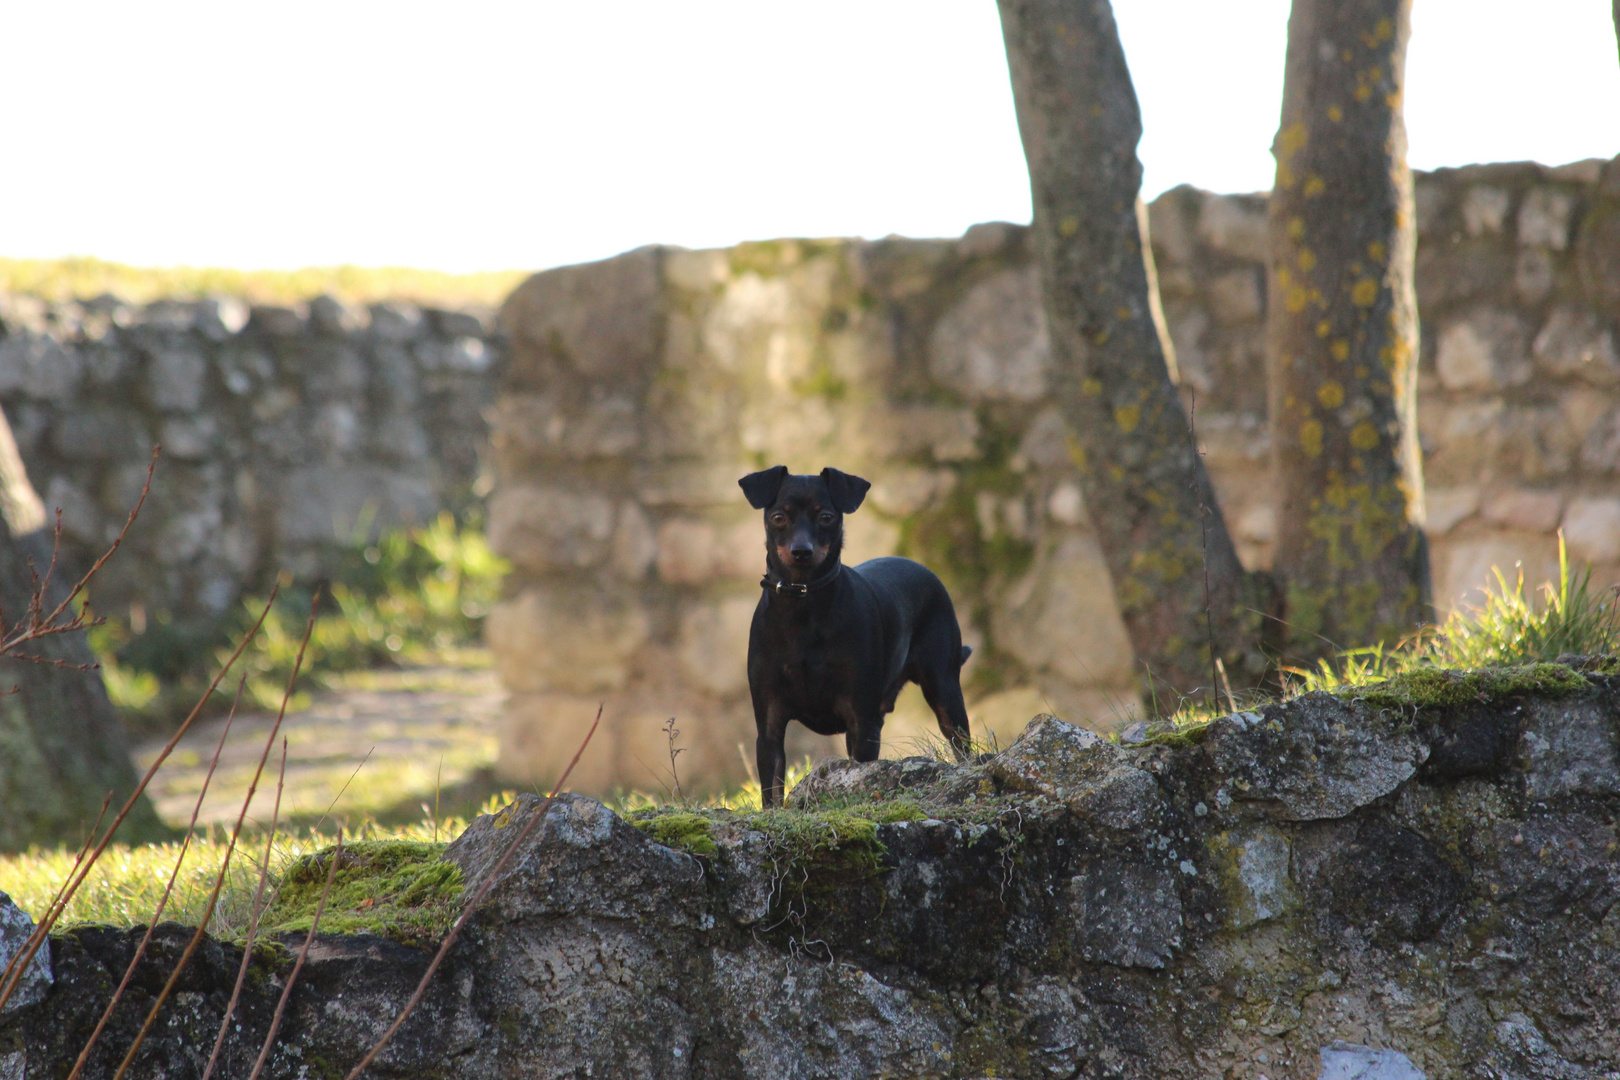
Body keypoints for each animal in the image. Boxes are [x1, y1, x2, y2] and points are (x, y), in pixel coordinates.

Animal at [738, 469, 972, 806]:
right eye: (778, 517)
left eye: (826, 517)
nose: (801, 551)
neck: (803, 605)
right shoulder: (769, 725)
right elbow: (772, 792)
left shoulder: (861, 721)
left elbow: (861, 772)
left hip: (944, 690)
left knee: (961, 743)